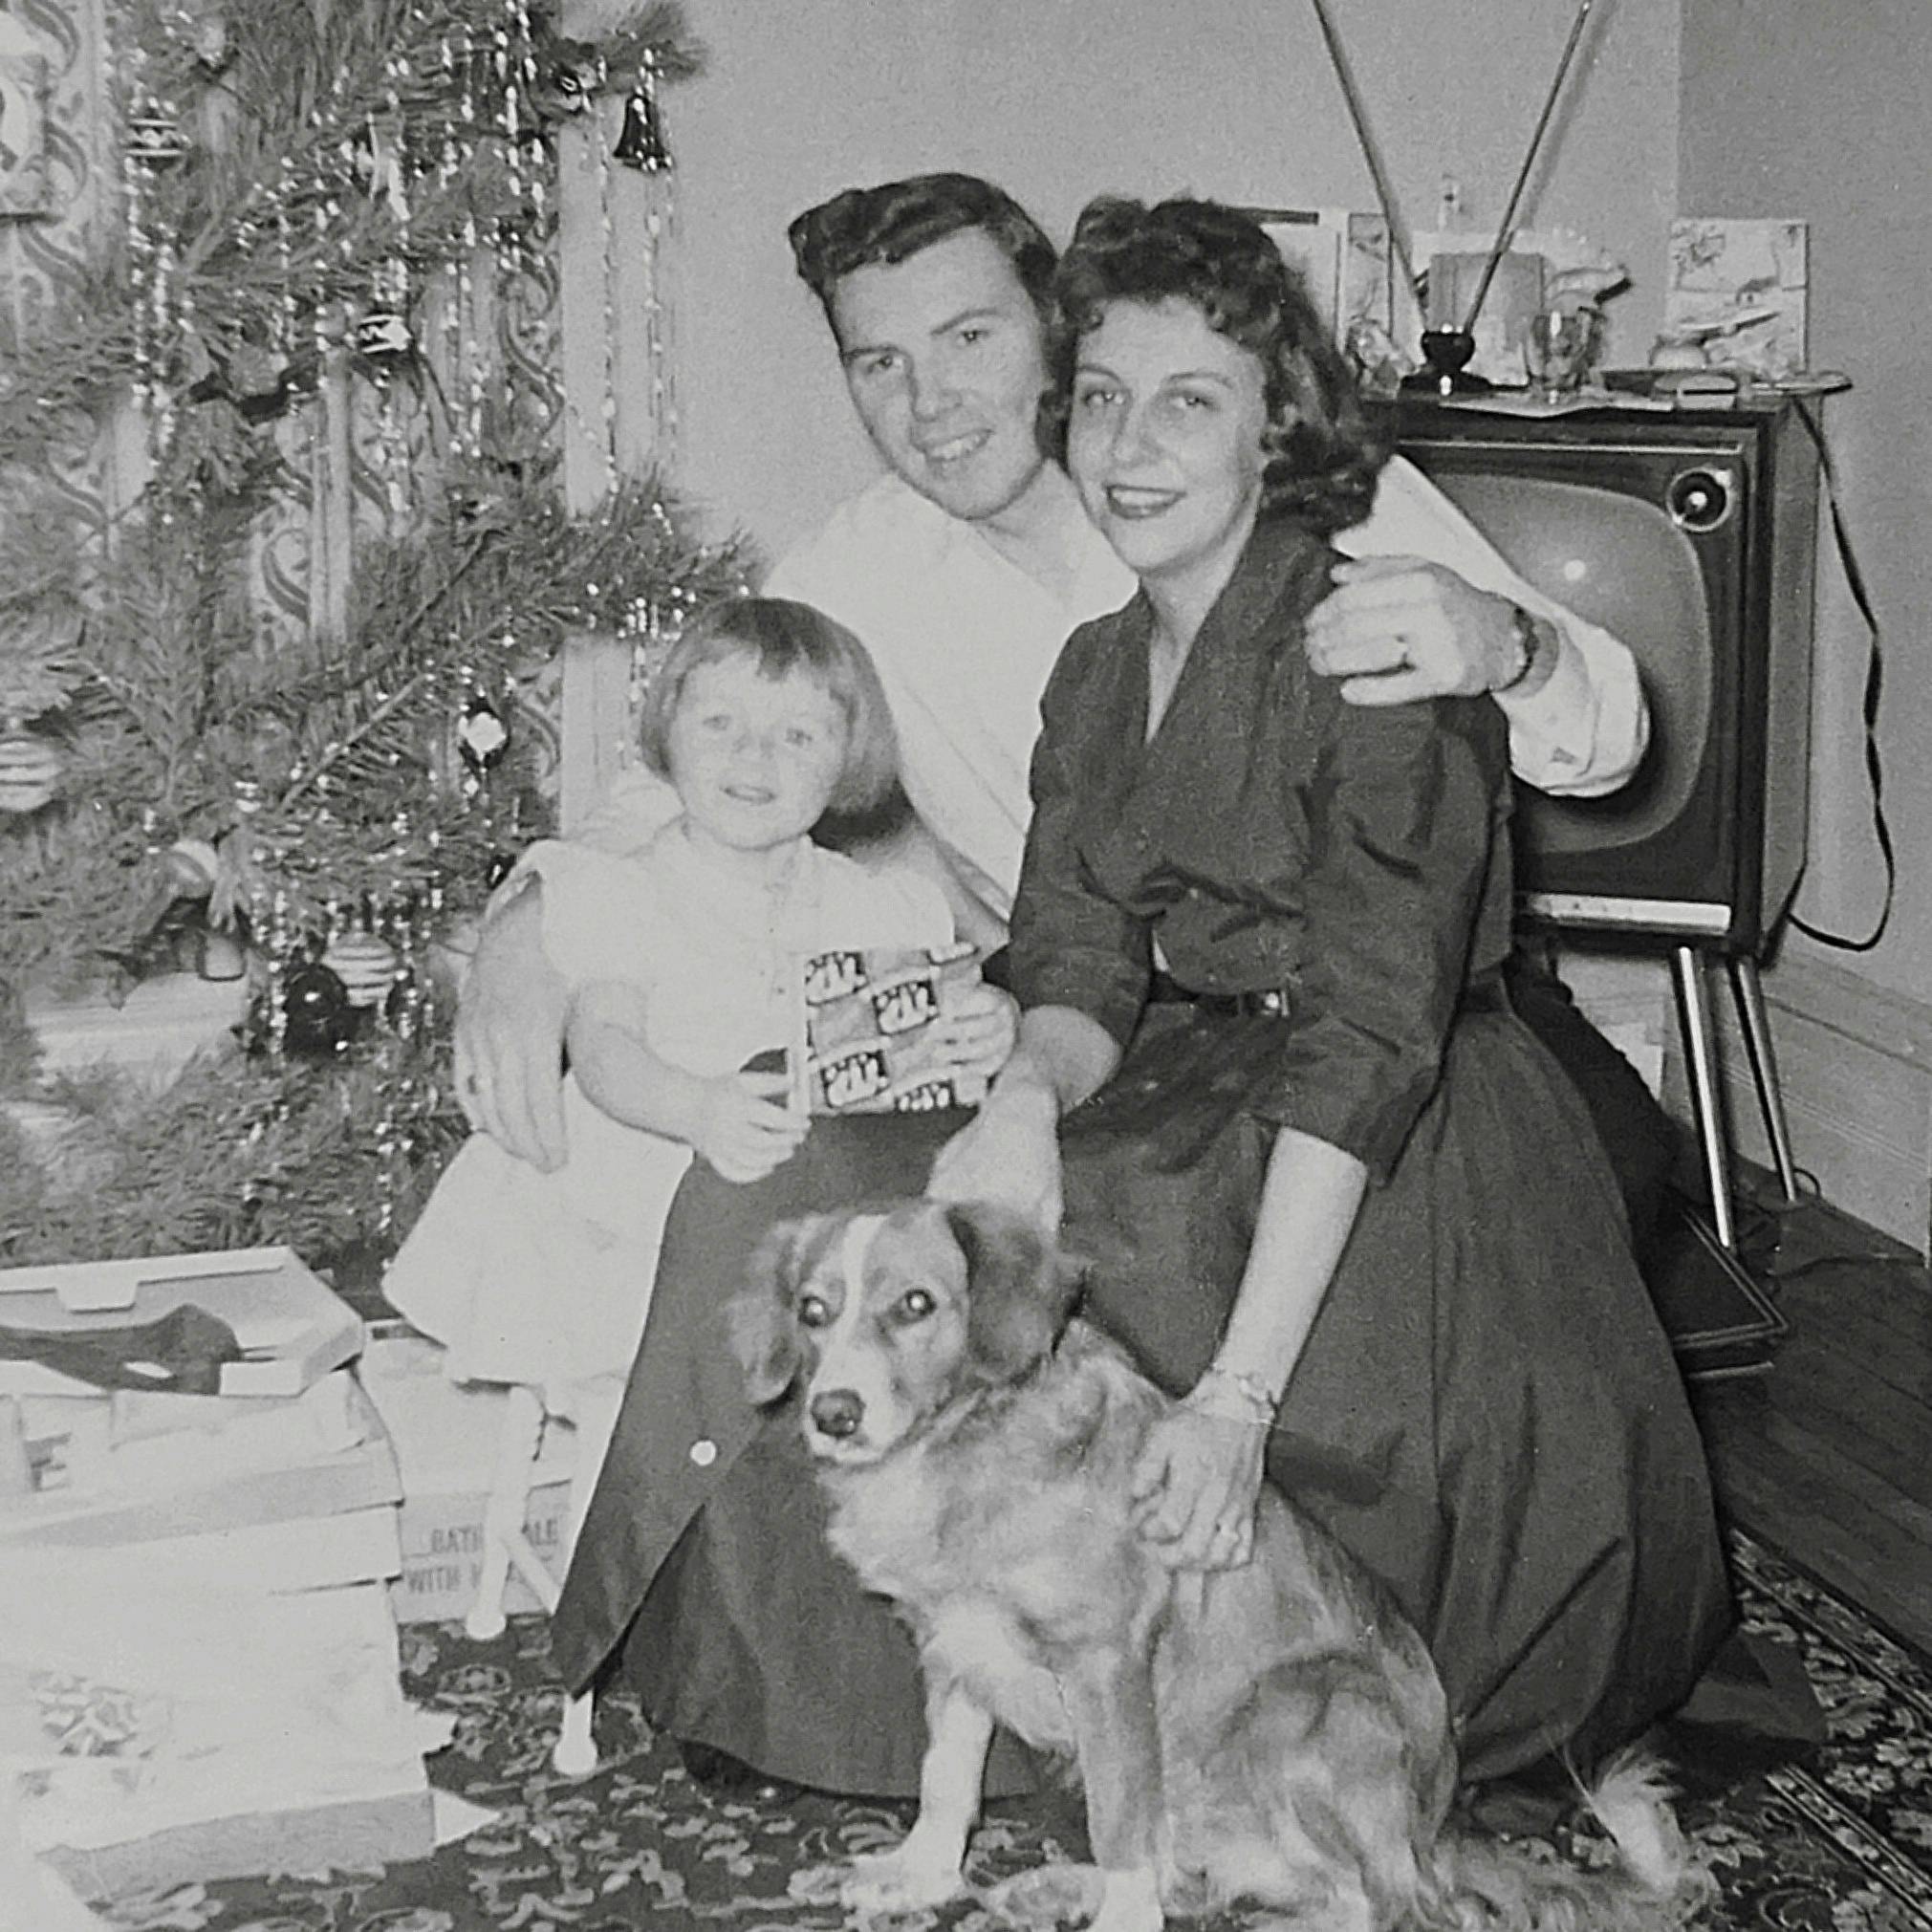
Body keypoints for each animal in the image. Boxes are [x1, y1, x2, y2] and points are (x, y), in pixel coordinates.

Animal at [729, 1198, 1715, 1923]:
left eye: (915, 1304)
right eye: (813, 1311)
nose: (832, 1413)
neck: (963, 1444)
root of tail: (1435, 1830)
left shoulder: (1107, 1663)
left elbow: (1120, 1822)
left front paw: (1115, 1918)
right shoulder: (955, 1645)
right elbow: (946, 1783)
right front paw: (922, 1878)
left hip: (1298, 1707)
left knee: (1396, 1907)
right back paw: (1060, 1886)